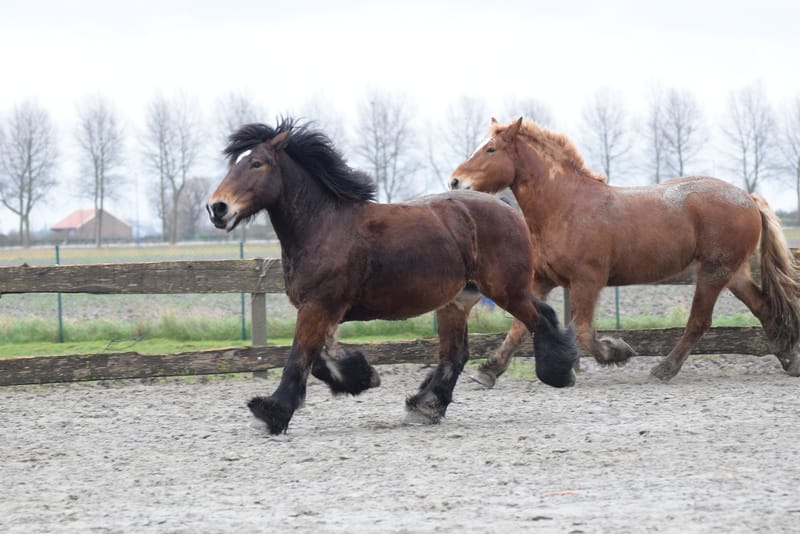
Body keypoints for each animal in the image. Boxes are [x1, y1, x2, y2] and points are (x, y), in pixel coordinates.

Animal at [207, 118, 578, 435]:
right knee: (455, 354)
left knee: (541, 318)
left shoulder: (317, 306)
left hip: (506, 290)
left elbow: (299, 358)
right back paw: (425, 405)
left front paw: (269, 414)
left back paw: (560, 372)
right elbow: (321, 359)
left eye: (256, 163)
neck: (323, 226)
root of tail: (508, 209)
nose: (217, 208)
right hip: (458, 301)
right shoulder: (321, 309)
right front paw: (362, 377)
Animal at [450, 117, 800, 384]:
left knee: (699, 322)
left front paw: (617, 352)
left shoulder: (587, 281)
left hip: (714, 272)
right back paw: (789, 360)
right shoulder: (542, 280)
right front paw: (488, 371)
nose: (455, 181)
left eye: (491, 149)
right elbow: (519, 327)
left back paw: (664, 369)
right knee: (765, 308)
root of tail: (748, 198)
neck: (565, 206)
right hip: (733, 273)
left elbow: (581, 331)